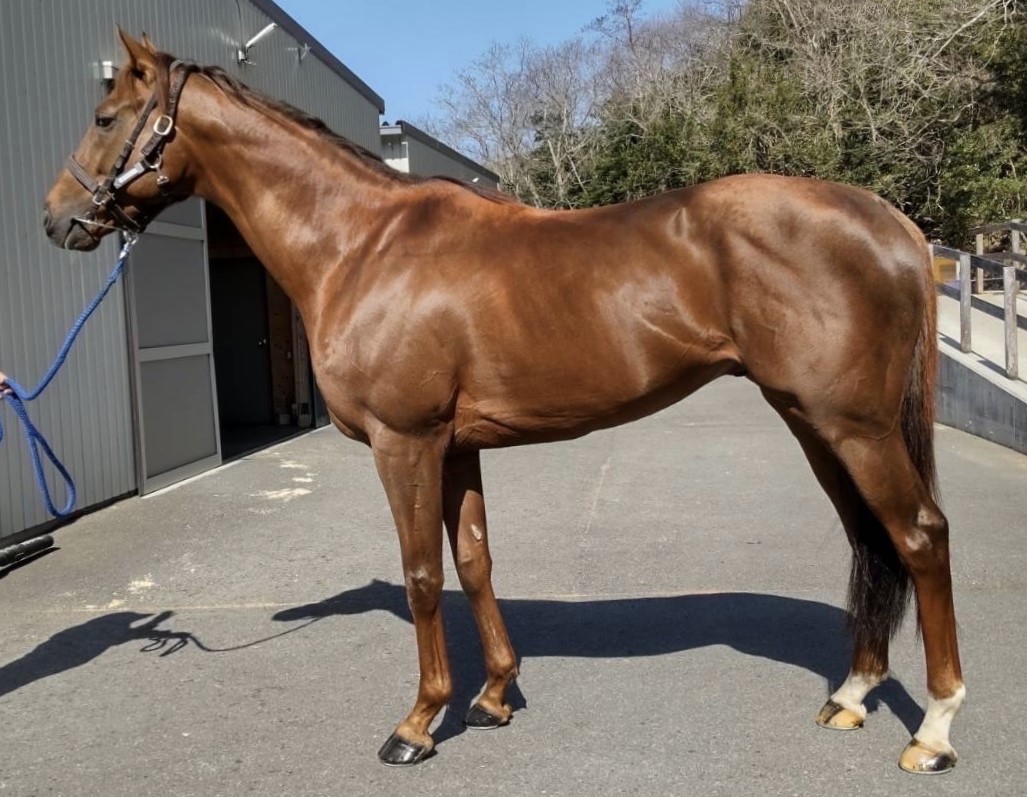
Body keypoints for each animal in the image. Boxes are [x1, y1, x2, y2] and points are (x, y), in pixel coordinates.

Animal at [40, 31, 963, 773]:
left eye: (106, 116)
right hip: (814, 422)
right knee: (869, 537)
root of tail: (887, 219)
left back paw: (934, 729)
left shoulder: (405, 441)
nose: (56, 220)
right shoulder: (456, 446)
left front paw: (418, 722)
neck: (360, 244)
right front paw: (492, 695)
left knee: (918, 535)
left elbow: (421, 573)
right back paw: (851, 693)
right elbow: (475, 560)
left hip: (854, 425)